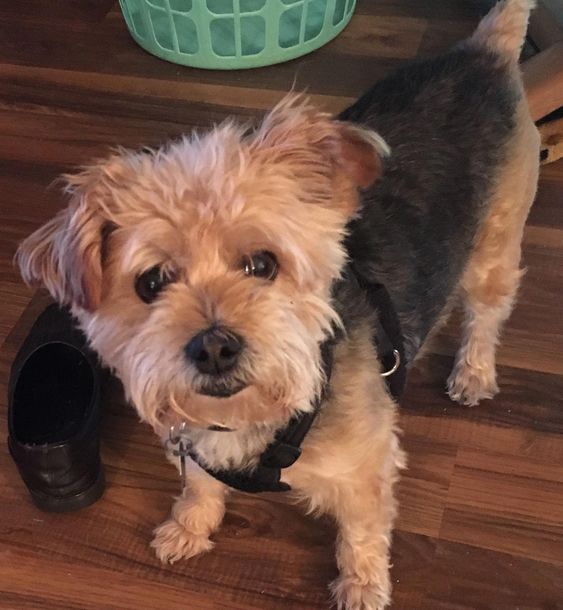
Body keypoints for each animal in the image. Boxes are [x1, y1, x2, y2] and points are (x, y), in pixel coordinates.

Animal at [15, 2, 540, 604]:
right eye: (151, 283)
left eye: (262, 265)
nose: (214, 348)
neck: (250, 419)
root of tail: (483, 53)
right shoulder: (195, 444)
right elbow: (200, 487)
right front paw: (189, 526)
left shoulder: (367, 466)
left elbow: (362, 531)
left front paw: (361, 586)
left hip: (494, 247)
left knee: (487, 312)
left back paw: (474, 371)